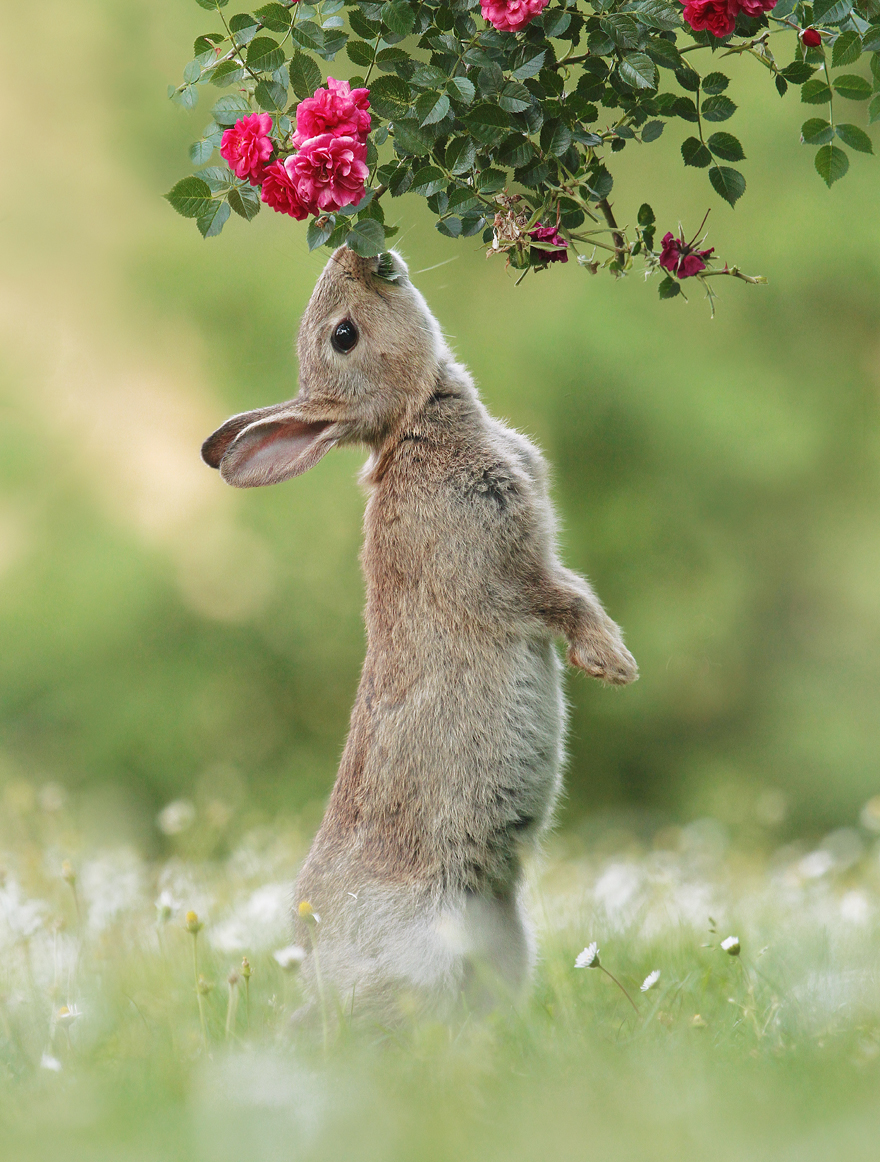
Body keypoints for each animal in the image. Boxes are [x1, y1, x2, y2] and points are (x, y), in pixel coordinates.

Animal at [202, 247, 637, 1027]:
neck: (412, 422)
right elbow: (564, 600)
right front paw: (613, 664)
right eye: (343, 336)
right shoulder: (501, 569)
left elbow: (571, 589)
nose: (357, 253)